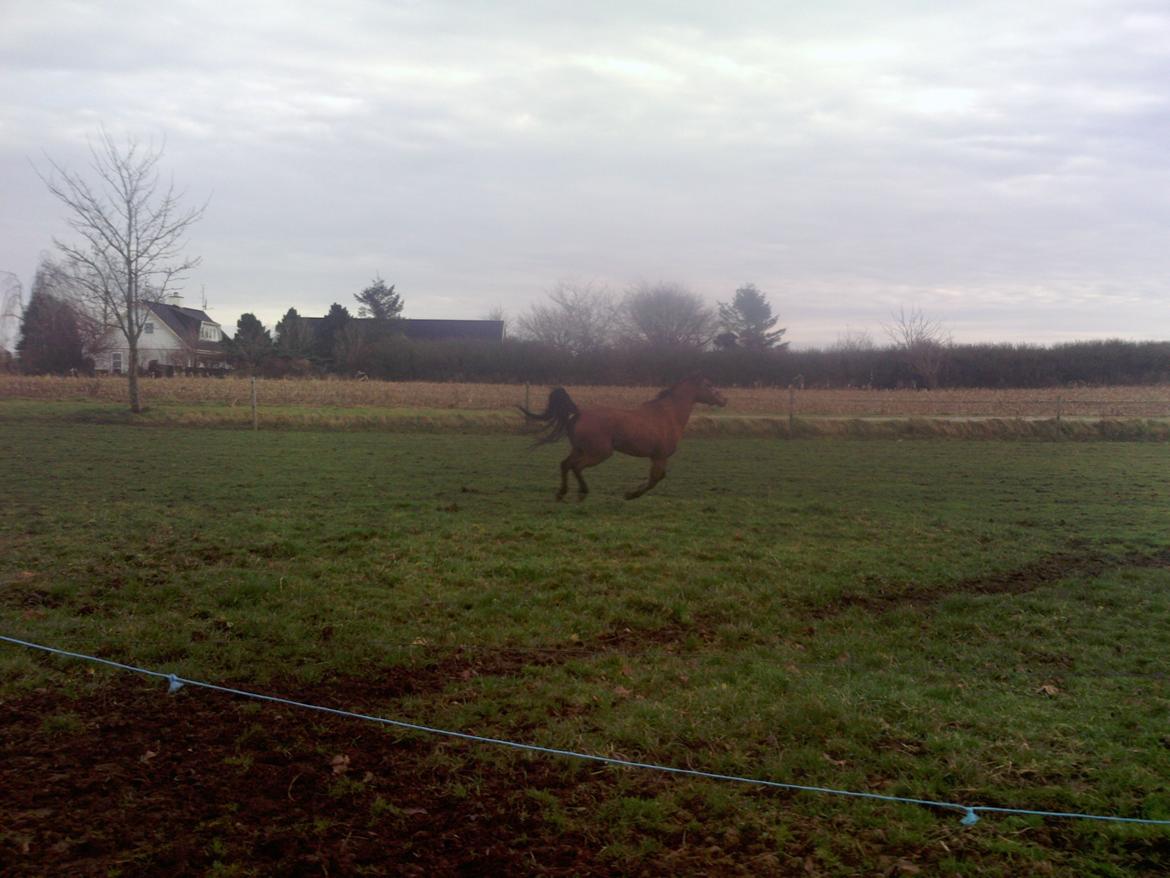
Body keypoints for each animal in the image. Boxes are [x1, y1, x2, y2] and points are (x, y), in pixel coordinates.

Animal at [519, 374, 728, 501]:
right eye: (709, 385)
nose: (724, 400)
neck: (668, 415)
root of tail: (579, 413)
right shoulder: (659, 456)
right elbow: (655, 479)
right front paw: (630, 494)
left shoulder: (657, 457)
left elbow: (658, 477)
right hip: (600, 453)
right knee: (576, 466)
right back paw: (582, 492)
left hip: (580, 449)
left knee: (565, 464)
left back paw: (561, 493)